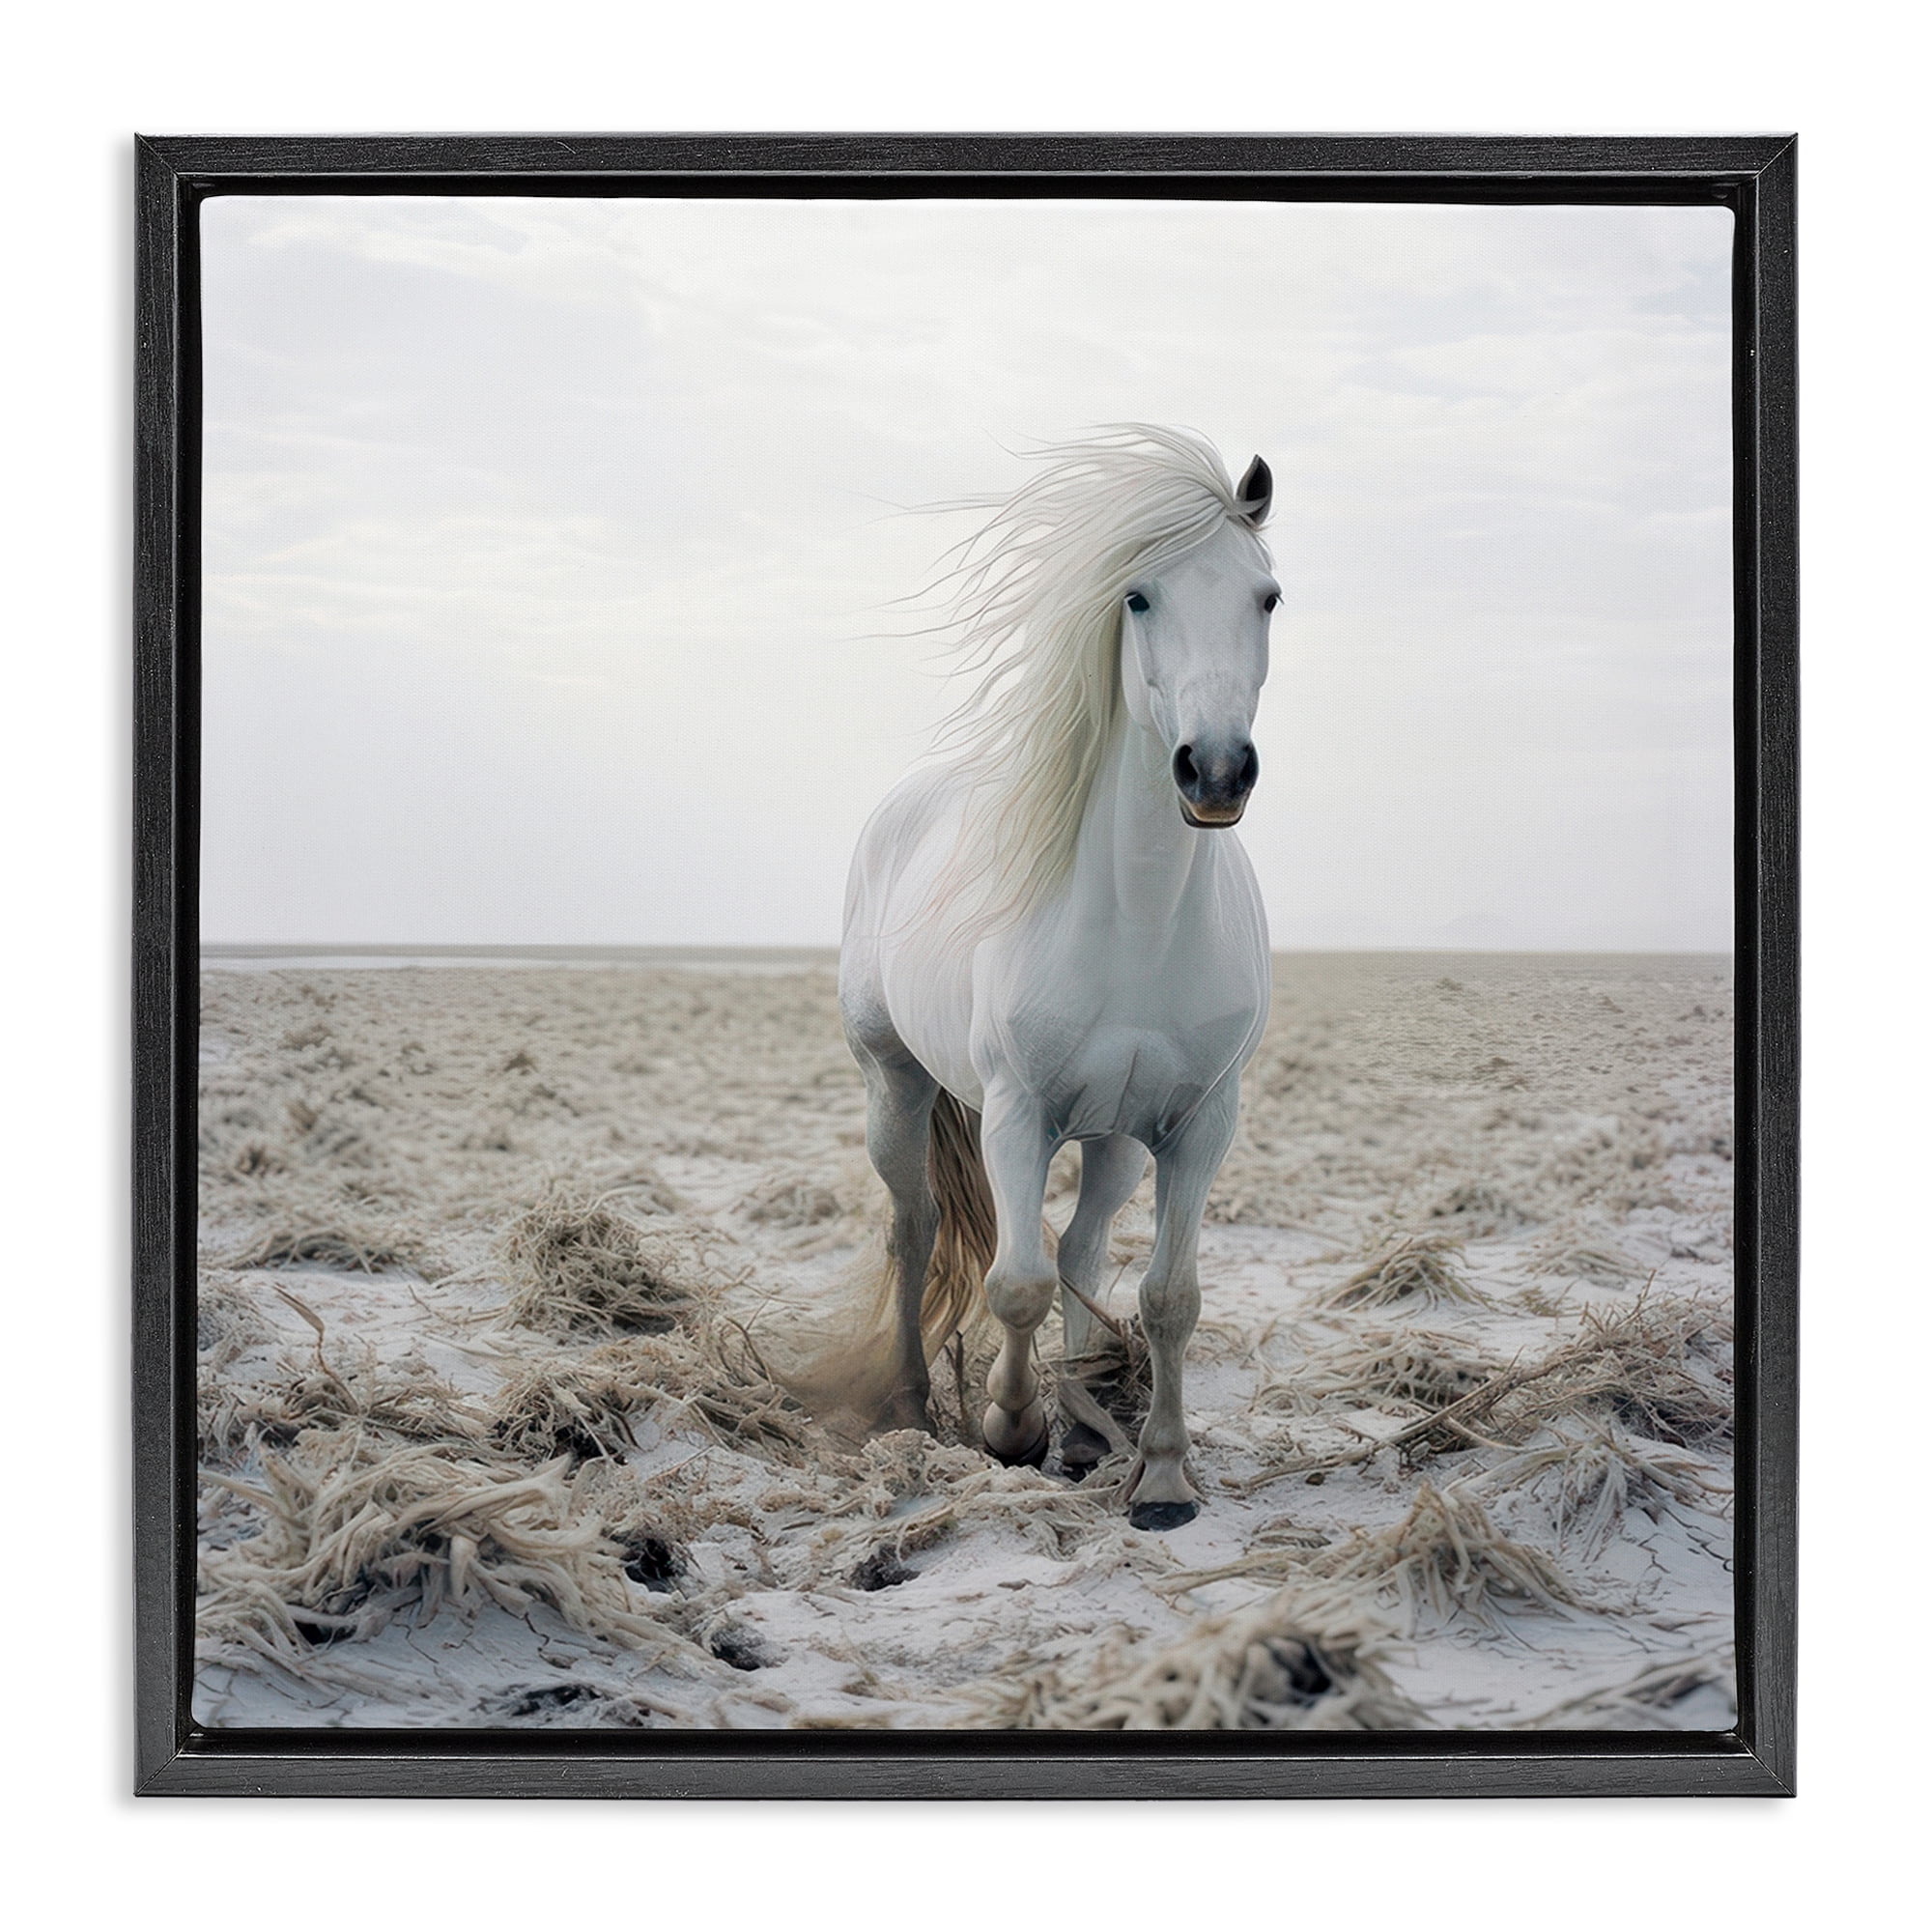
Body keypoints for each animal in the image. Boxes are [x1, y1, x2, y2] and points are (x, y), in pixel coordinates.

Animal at [834, 426, 1277, 1531]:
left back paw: (1081, 1429)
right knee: (917, 1231)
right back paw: (918, 1401)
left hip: (1115, 1134)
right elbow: (1016, 1281)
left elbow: (1167, 1296)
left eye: (1267, 596)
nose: (1215, 770)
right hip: (894, 1083)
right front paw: (1008, 1427)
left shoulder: (1199, 1123)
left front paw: (1159, 1473)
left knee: (1080, 1249)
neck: (1141, 919)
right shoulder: (1015, 1111)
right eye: (1138, 597)